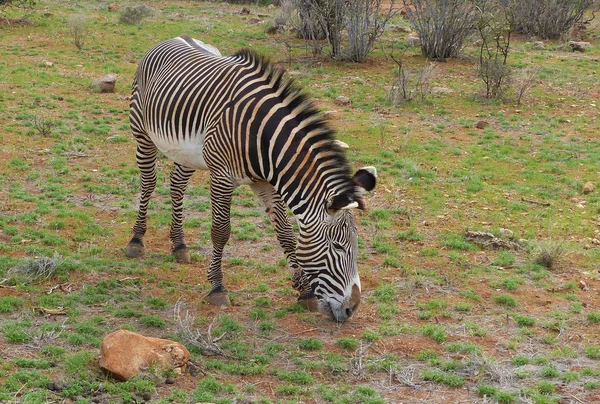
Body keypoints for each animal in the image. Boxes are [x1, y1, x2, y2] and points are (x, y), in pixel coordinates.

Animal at [126, 37, 376, 322]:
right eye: (337, 246)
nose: (351, 309)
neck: (263, 139)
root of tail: (175, 37)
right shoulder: (222, 176)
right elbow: (220, 231)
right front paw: (217, 288)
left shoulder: (267, 183)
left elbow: (285, 234)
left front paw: (304, 292)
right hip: (142, 133)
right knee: (148, 183)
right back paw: (136, 240)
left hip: (188, 152)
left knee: (177, 184)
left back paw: (179, 245)